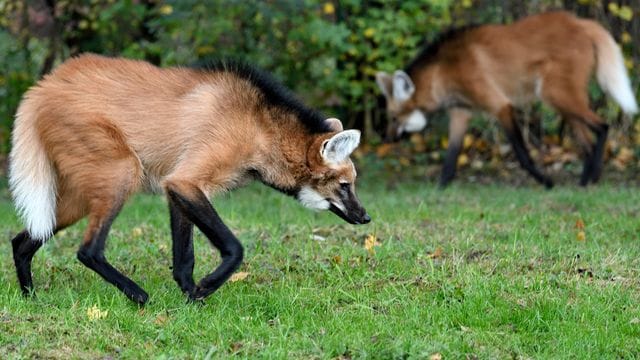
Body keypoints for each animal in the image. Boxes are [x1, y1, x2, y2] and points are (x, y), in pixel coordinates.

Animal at [8, 54, 370, 304]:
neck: (260, 131)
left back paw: (31, 298)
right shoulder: (186, 182)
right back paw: (138, 295)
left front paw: (190, 298)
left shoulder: (177, 185)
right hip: (123, 172)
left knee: (22, 239)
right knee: (88, 251)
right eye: (345, 185)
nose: (365, 217)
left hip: (80, 196)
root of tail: (42, 87)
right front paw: (205, 288)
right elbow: (234, 247)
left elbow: (184, 257)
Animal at [378, 10, 636, 188]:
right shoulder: (461, 112)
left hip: (555, 93)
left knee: (603, 127)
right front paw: (439, 189)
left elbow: (522, 154)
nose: (387, 139)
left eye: (393, 117)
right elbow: (450, 158)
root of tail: (581, 23)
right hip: (561, 100)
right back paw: (586, 180)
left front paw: (547, 182)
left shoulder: (500, 106)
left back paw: (591, 178)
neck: (443, 73)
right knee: (587, 142)